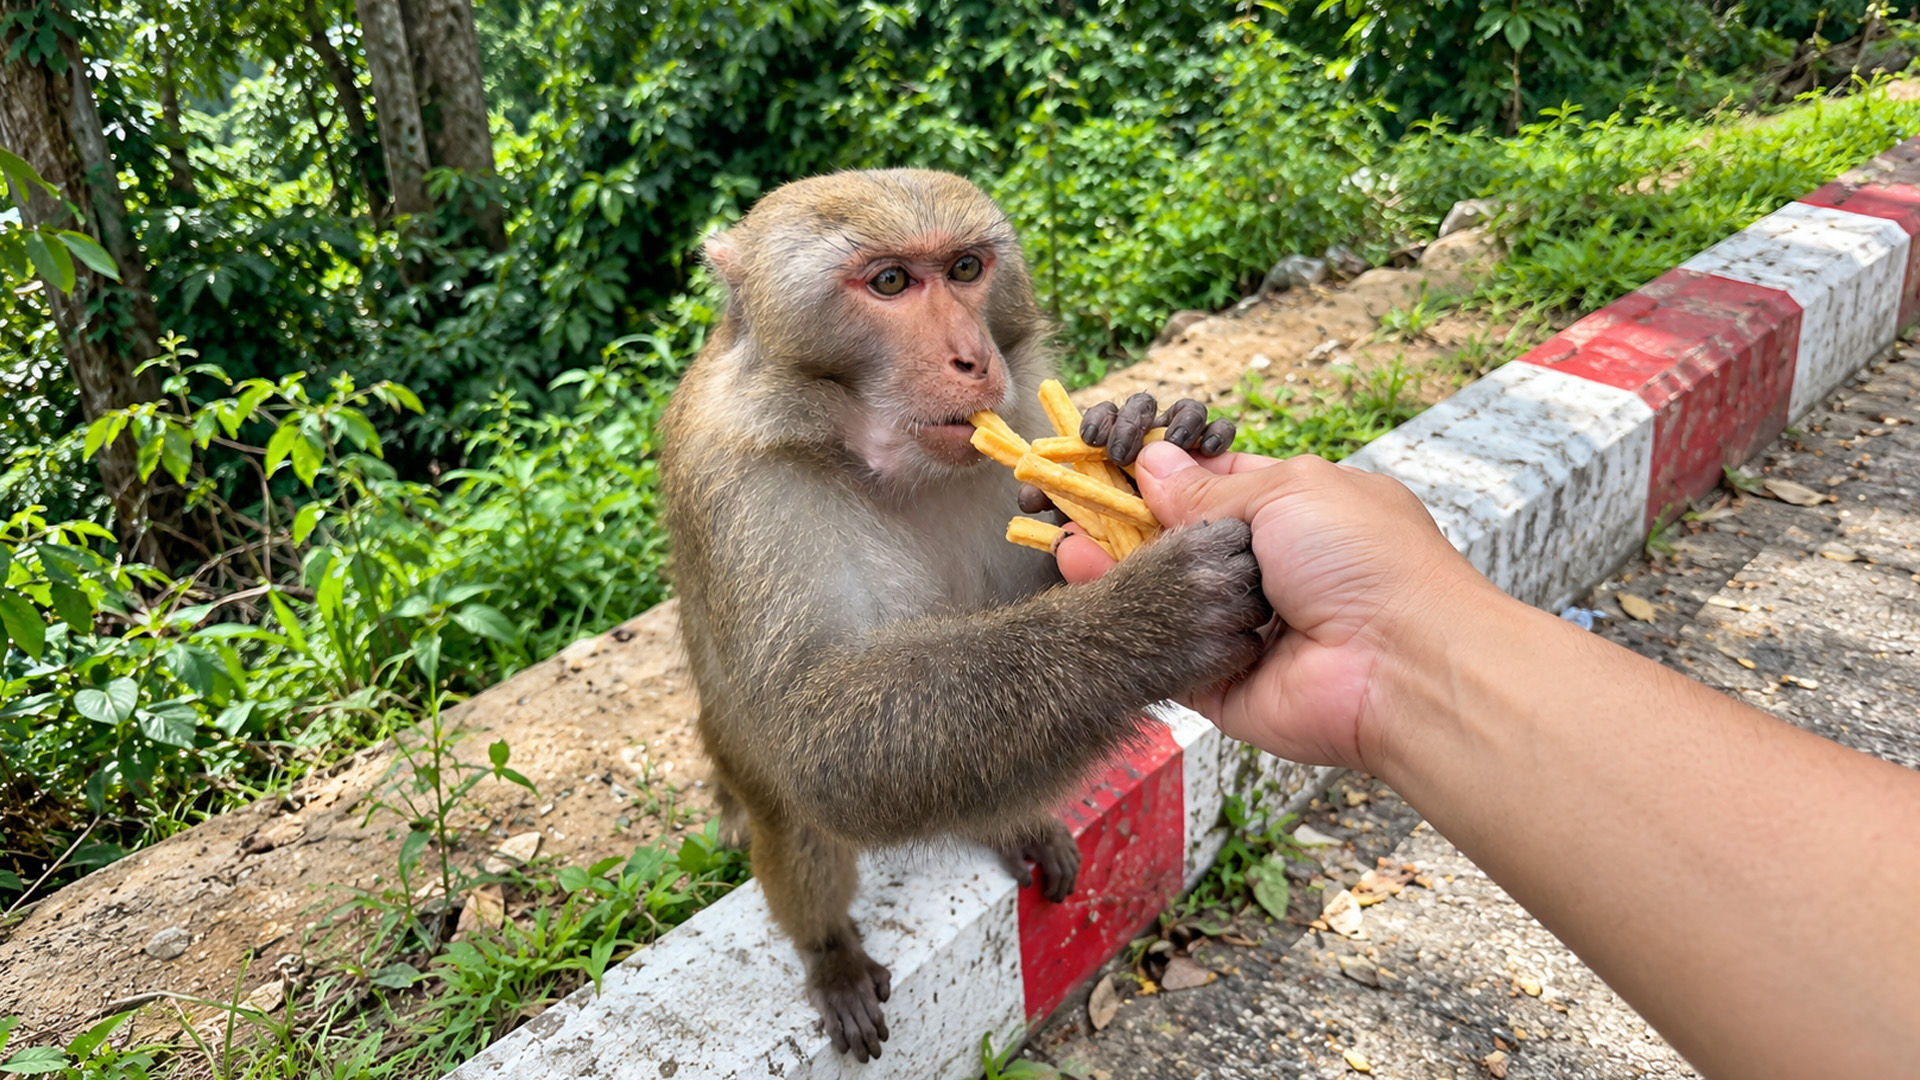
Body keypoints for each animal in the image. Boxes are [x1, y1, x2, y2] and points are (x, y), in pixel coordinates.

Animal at [658, 169, 1269, 1062]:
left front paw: (1149, 433)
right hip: (731, 751)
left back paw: (1017, 828)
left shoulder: (1019, 419)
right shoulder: (746, 490)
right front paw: (1152, 616)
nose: (975, 359)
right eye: (889, 282)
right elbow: (819, 738)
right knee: (794, 812)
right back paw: (830, 952)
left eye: (968, 268)